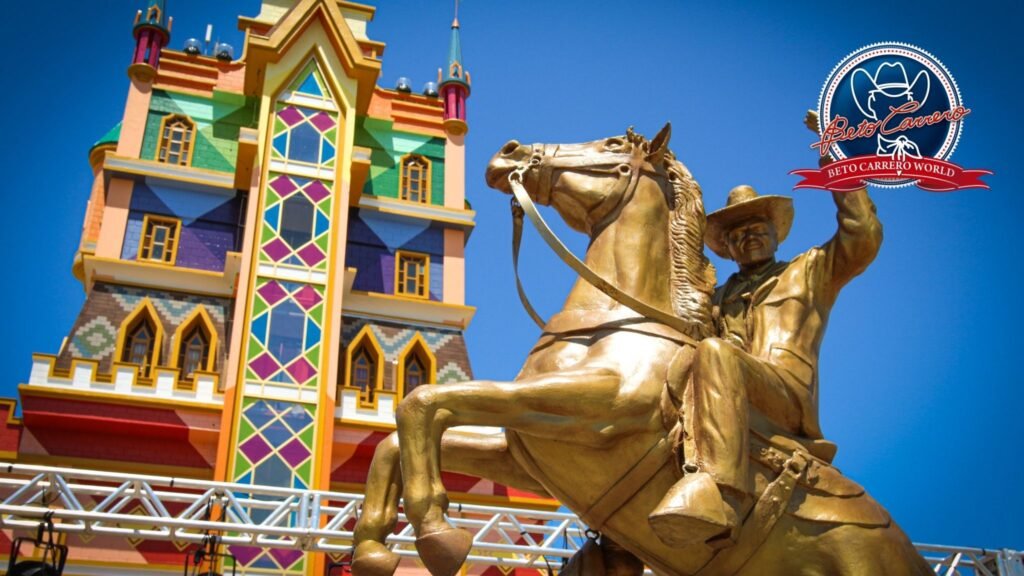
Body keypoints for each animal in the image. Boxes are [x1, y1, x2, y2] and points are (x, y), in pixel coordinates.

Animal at [350, 124, 929, 573]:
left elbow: (425, 402)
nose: (510, 151)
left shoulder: (600, 408)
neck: (616, 319)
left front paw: (438, 534)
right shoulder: (526, 452)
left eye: (610, 142)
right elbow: (402, 435)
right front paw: (373, 547)